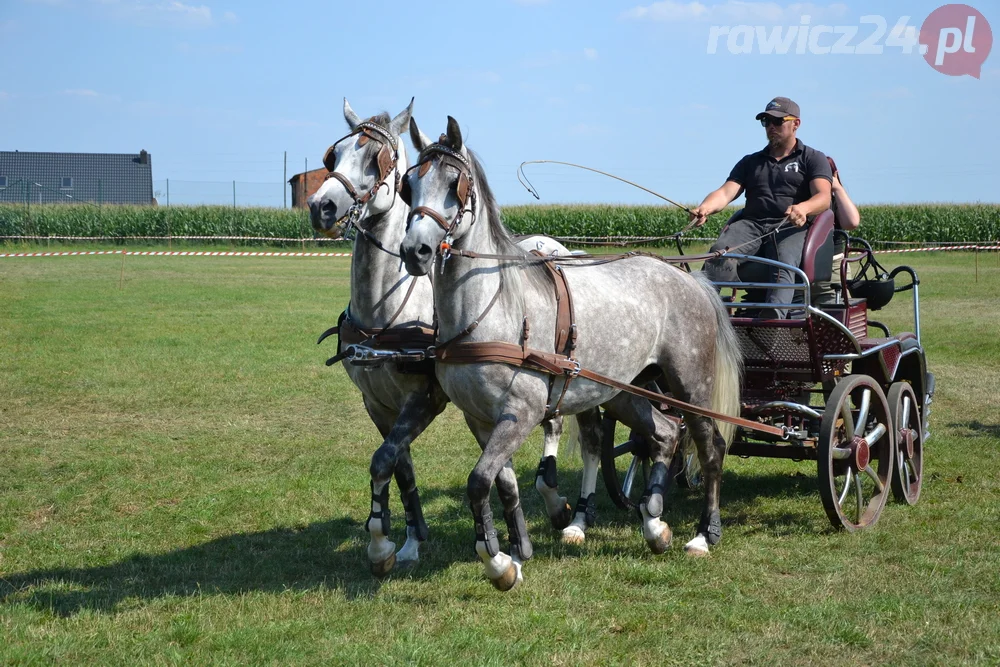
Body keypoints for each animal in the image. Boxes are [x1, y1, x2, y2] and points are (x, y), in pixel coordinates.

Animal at [308, 102, 592, 576]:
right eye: (335, 155)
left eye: (377, 162)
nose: (321, 206)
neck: (384, 311)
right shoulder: (378, 404)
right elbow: (398, 467)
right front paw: (408, 542)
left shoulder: (425, 398)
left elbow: (384, 459)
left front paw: (382, 545)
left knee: (561, 427)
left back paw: (561, 506)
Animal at [398, 117, 744, 592]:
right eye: (408, 185)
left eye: (455, 184)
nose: (415, 251)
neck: (490, 307)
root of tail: (688, 278)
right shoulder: (479, 419)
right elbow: (502, 483)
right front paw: (514, 554)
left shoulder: (521, 412)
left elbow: (478, 481)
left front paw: (497, 563)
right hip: (623, 390)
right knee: (662, 434)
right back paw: (654, 524)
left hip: (691, 384)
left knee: (709, 448)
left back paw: (704, 534)